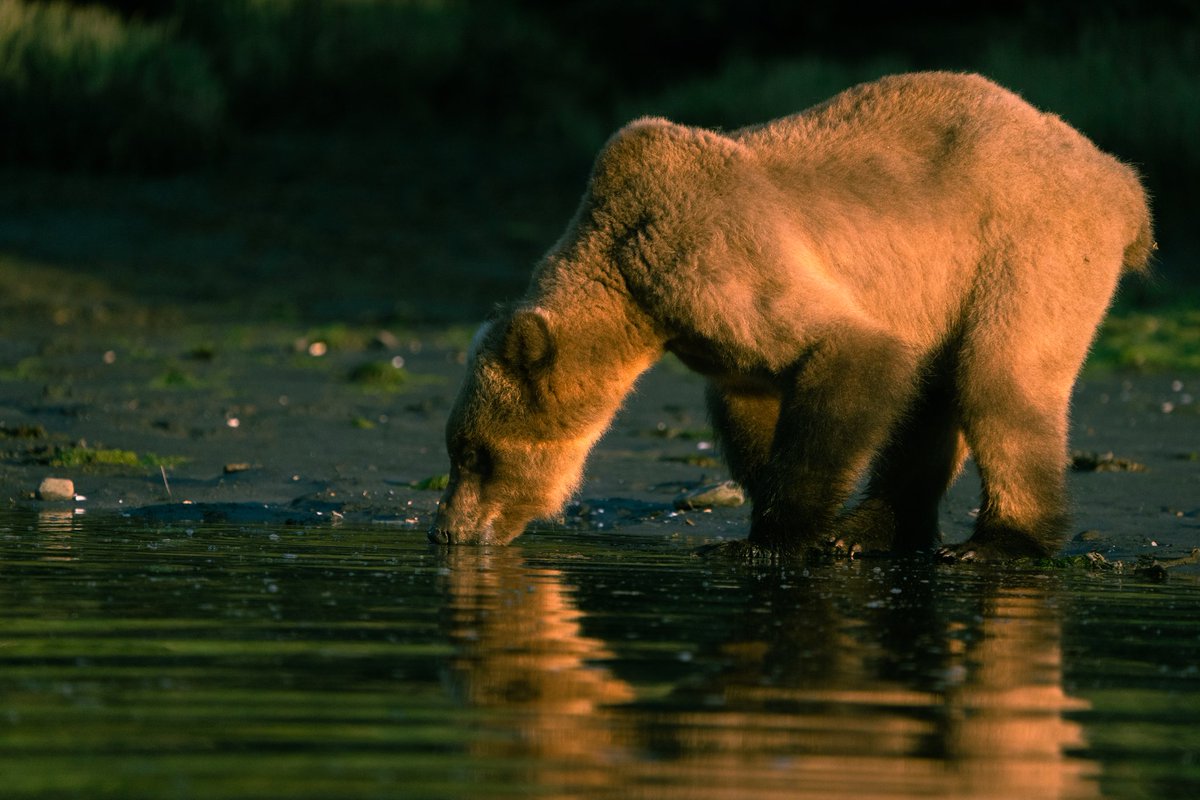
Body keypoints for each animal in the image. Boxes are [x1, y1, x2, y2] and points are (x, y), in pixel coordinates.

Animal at [429, 71, 1153, 562]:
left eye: (474, 453)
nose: (447, 531)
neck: (630, 279)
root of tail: (1120, 178)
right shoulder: (709, 331)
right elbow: (753, 401)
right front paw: (774, 511)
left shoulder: (718, 256)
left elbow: (854, 353)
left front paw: (768, 539)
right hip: (950, 284)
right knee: (933, 392)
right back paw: (872, 529)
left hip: (1029, 247)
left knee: (998, 379)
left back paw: (998, 541)